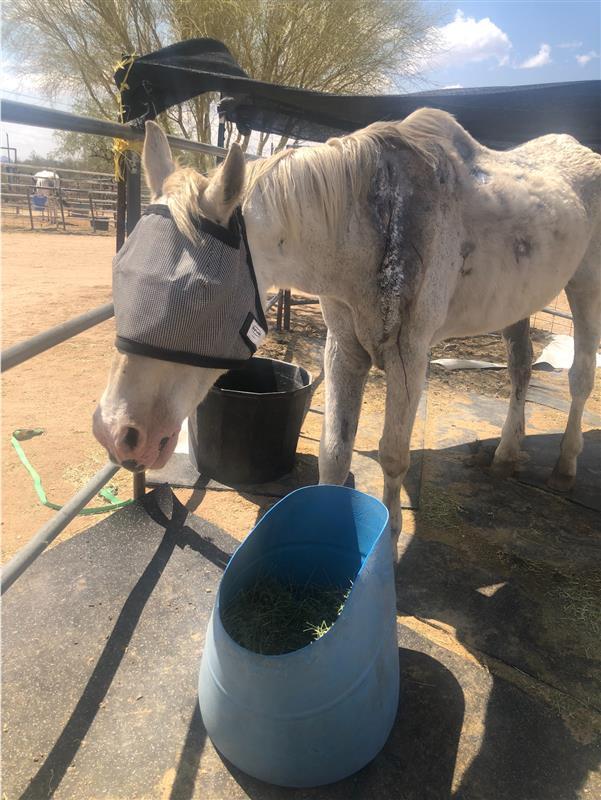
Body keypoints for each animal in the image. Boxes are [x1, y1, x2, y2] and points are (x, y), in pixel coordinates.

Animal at [93, 111, 601, 555]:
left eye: (199, 291)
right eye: (119, 269)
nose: (117, 433)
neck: (377, 227)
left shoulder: (409, 356)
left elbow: (393, 454)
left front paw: (389, 545)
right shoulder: (343, 351)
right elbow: (335, 453)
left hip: (585, 288)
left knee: (579, 378)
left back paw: (565, 467)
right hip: (520, 304)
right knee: (520, 369)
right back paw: (506, 455)